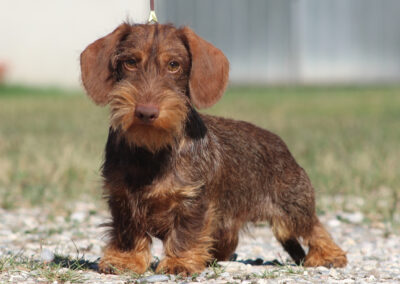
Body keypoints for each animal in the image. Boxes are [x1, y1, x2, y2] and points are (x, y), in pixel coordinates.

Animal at [79, 22, 346, 276]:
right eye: (130, 62)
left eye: (174, 65)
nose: (146, 112)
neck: (152, 151)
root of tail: (281, 145)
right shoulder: (123, 199)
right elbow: (128, 233)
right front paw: (125, 260)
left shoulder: (193, 201)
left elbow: (186, 233)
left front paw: (179, 262)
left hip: (292, 208)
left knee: (314, 227)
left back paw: (330, 256)